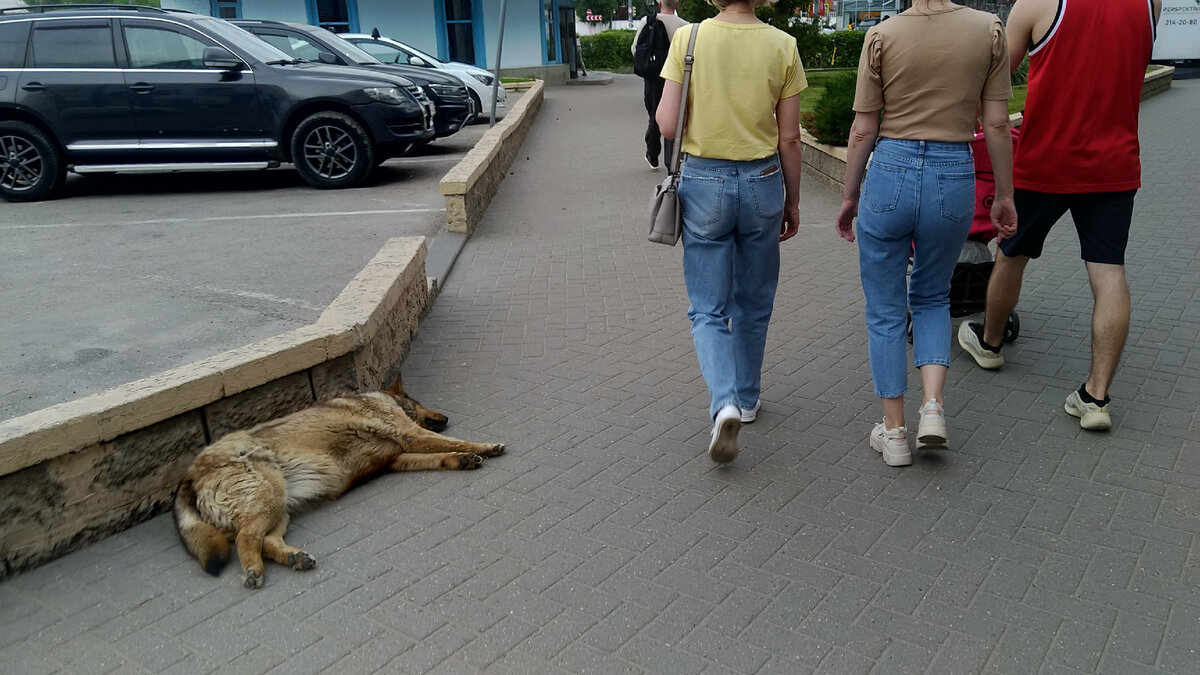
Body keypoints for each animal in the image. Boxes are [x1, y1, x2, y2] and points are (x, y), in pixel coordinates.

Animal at [174, 374, 501, 586]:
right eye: (418, 402)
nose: (445, 418)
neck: (377, 398)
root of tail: (190, 474)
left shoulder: (398, 458)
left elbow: (441, 455)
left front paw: (460, 459)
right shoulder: (411, 435)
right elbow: (456, 441)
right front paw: (483, 447)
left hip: (279, 508)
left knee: (265, 540)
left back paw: (294, 558)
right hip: (270, 498)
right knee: (247, 538)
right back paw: (254, 570)